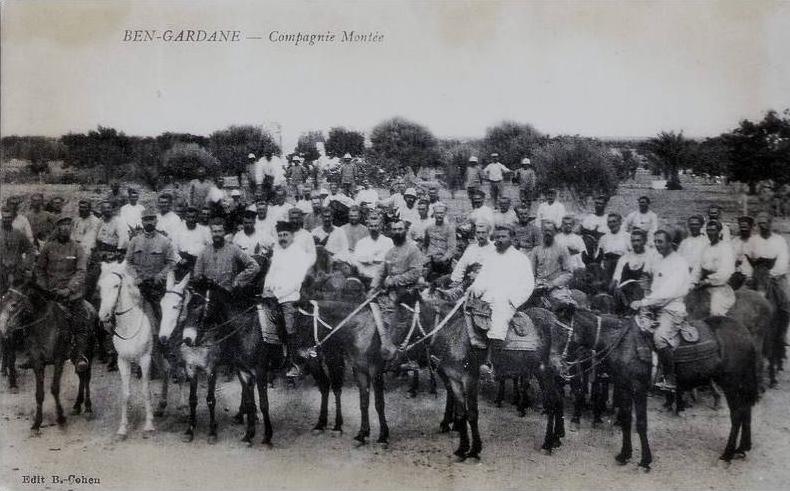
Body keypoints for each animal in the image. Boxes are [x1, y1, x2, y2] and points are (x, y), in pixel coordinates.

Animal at [96, 264, 155, 440]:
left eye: (116, 285)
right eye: (100, 286)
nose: (103, 316)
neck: (129, 325)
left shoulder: (145, 359)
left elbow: (146, 391)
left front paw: (149, 425)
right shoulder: (122, 361)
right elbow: (125, 394)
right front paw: (122, 428)